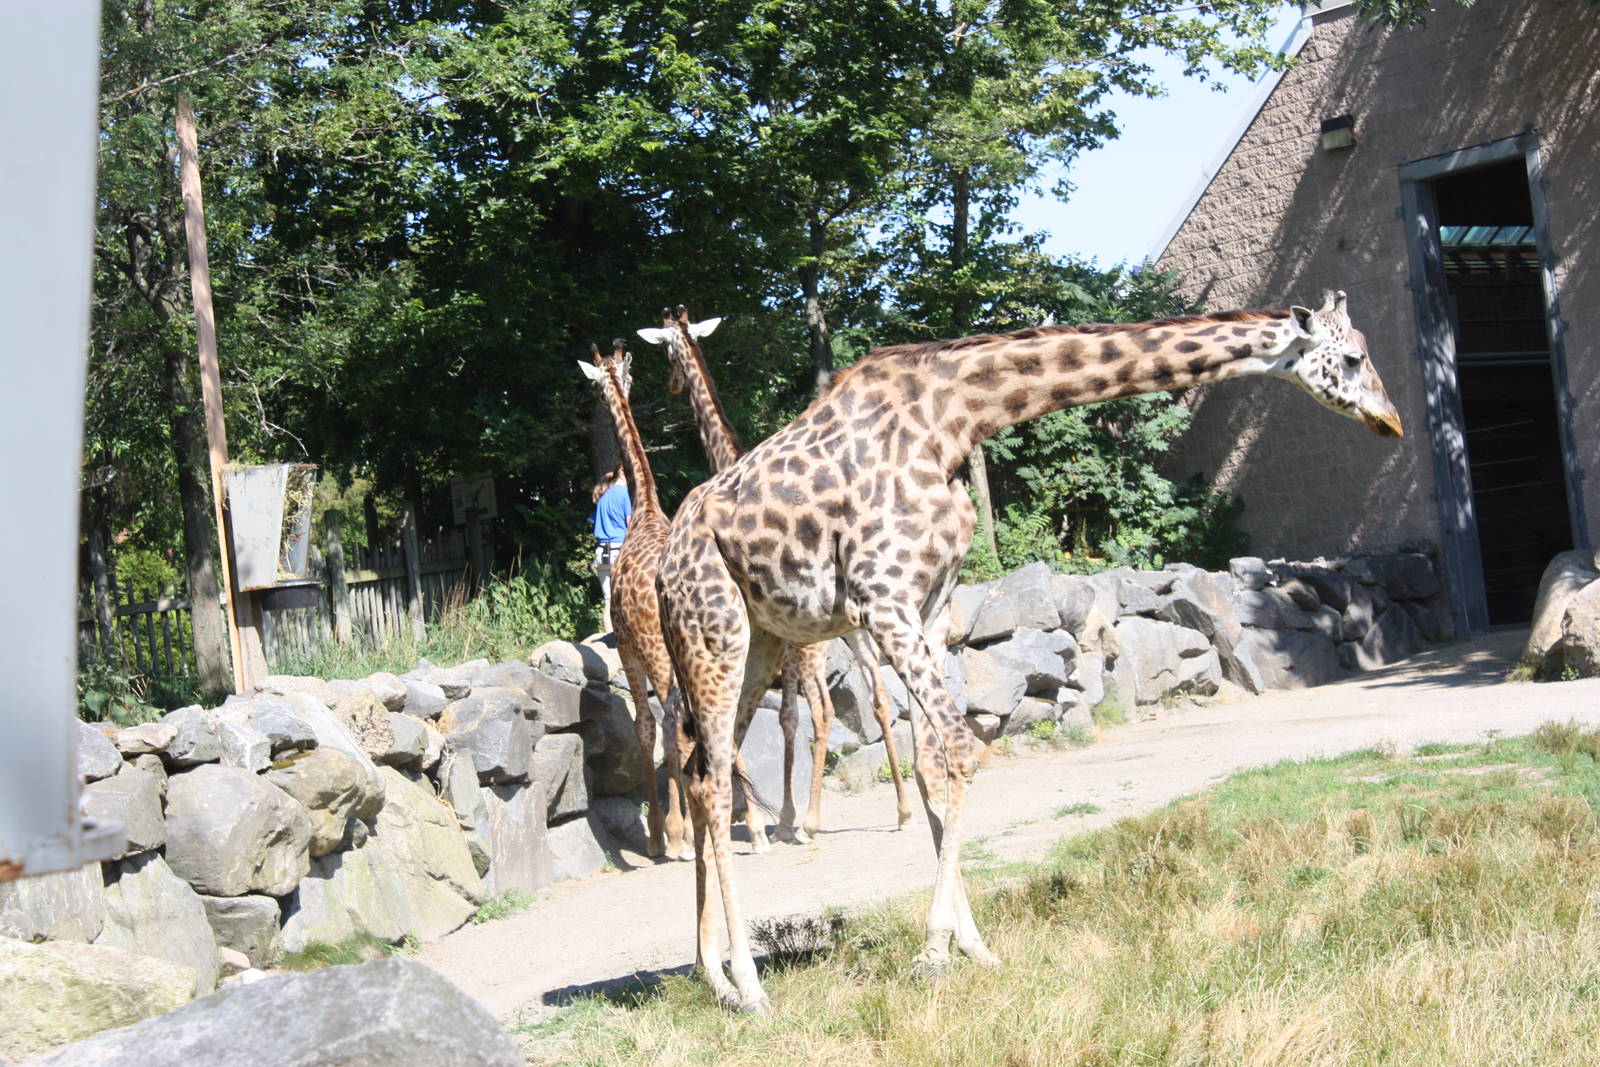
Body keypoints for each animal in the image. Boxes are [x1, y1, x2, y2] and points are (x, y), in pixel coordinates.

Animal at [635, 309, 912, 844]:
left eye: (665, 351)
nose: (672, 383)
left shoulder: (782, 648)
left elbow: (788, 719)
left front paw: (780, 819)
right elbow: (785, 718)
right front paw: (776, 815)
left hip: (814, 648)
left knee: (826, 711)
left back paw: (811, 822)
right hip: (853, 633)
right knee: (880, 696)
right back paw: (907, 809)